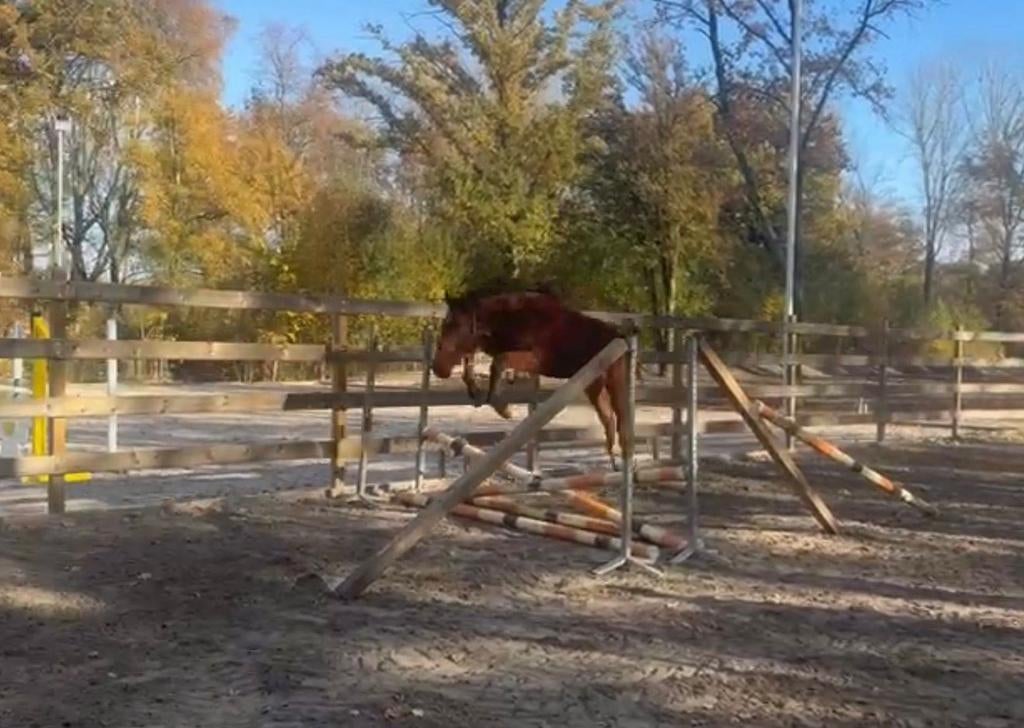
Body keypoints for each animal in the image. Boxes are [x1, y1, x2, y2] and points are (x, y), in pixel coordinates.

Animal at [430, 288, 631, 470]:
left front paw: (503, 408)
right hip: (594, 385)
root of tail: (621, 337)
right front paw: (476, 392)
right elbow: (474, 365)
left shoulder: (534, 359)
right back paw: (614, 461)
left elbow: (499, 362)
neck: (513, 319)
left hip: (616, 382)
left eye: (455, 326)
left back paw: (624, 459)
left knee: (621, 419)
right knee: (608, 418)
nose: (437, 368)